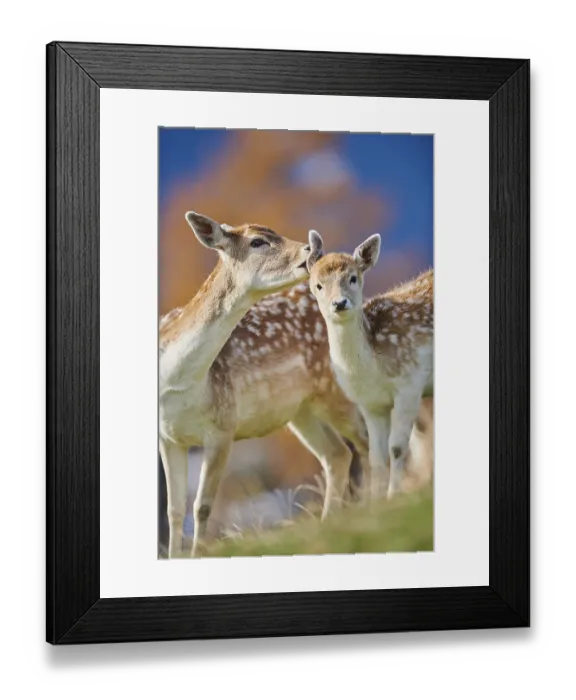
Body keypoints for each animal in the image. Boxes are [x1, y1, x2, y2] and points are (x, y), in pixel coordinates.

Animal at [159, 212, 371, 558]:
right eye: (257, 241)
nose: (312, 251)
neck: (176, 382)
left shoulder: (223, 425)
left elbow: (201, 507)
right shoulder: (167, 437)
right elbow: (174, 510)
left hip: (335, 389)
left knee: (367, 441)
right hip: (300, 411)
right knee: (337, 453)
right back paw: (329, 525)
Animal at [307, 230, 434, 501]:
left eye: (353, 278)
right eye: (318, 285)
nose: (339, 303)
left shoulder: (410, 382)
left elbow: (397, 448)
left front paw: (394, 496)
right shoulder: (369, 404)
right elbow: (376, 456)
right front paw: (376, 503)